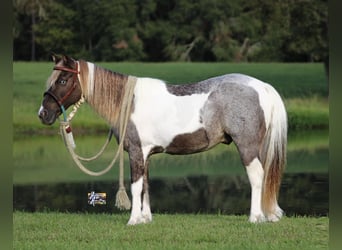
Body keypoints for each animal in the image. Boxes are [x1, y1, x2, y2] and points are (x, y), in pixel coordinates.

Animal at [38, 54, 288, 225]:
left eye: (62, 80)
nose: (43, 114)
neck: (129, 102)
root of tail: (262, 86)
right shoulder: (145, 154)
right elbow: (146, 185)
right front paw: (145, 218)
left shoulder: (136, 152)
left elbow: (136, 185)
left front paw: (133, 220)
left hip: (247, 147)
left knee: (256, 177)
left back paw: (255, 217)